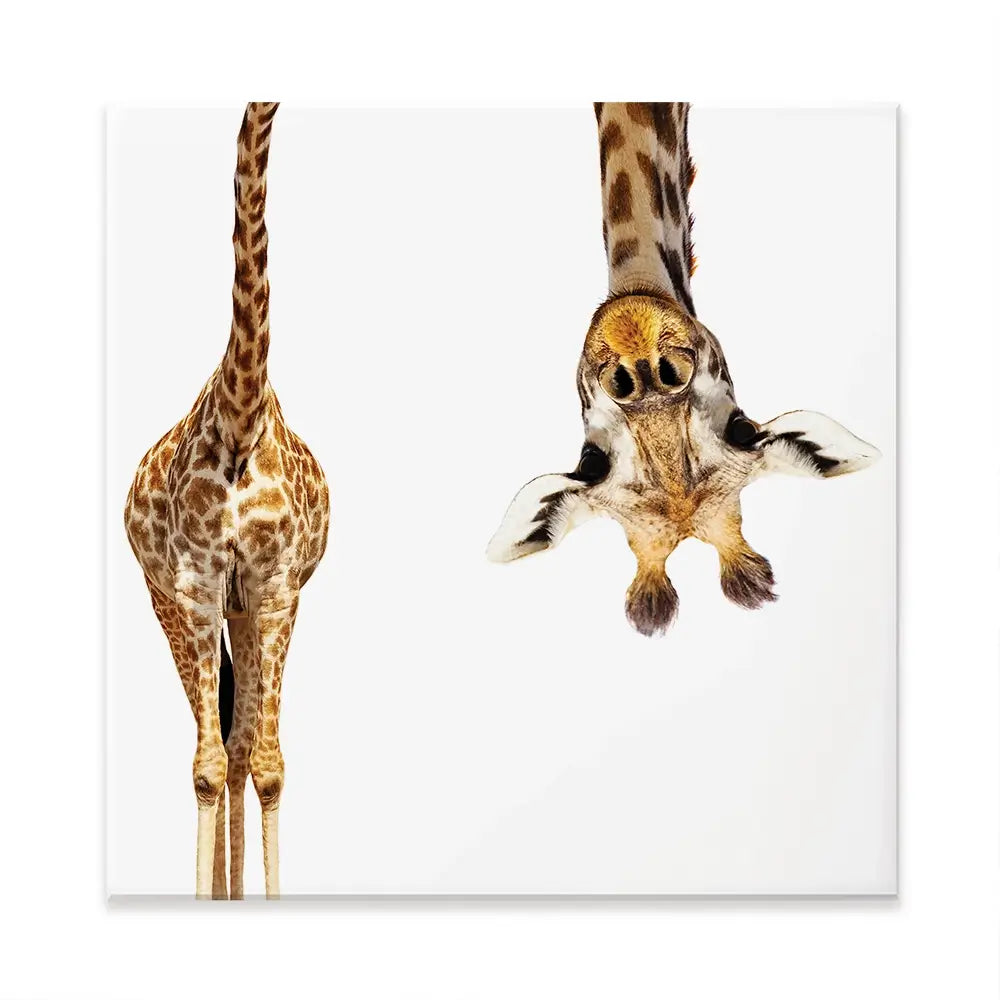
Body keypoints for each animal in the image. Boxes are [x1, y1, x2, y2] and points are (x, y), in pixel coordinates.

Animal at [124, 102, 330, 898]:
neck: (240, 417)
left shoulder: (273, 587)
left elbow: (264, 765)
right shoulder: (196, 584)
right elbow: (206, 768)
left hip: (248, 611)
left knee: (241, 745)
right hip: (171, 604)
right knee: (213, 743)